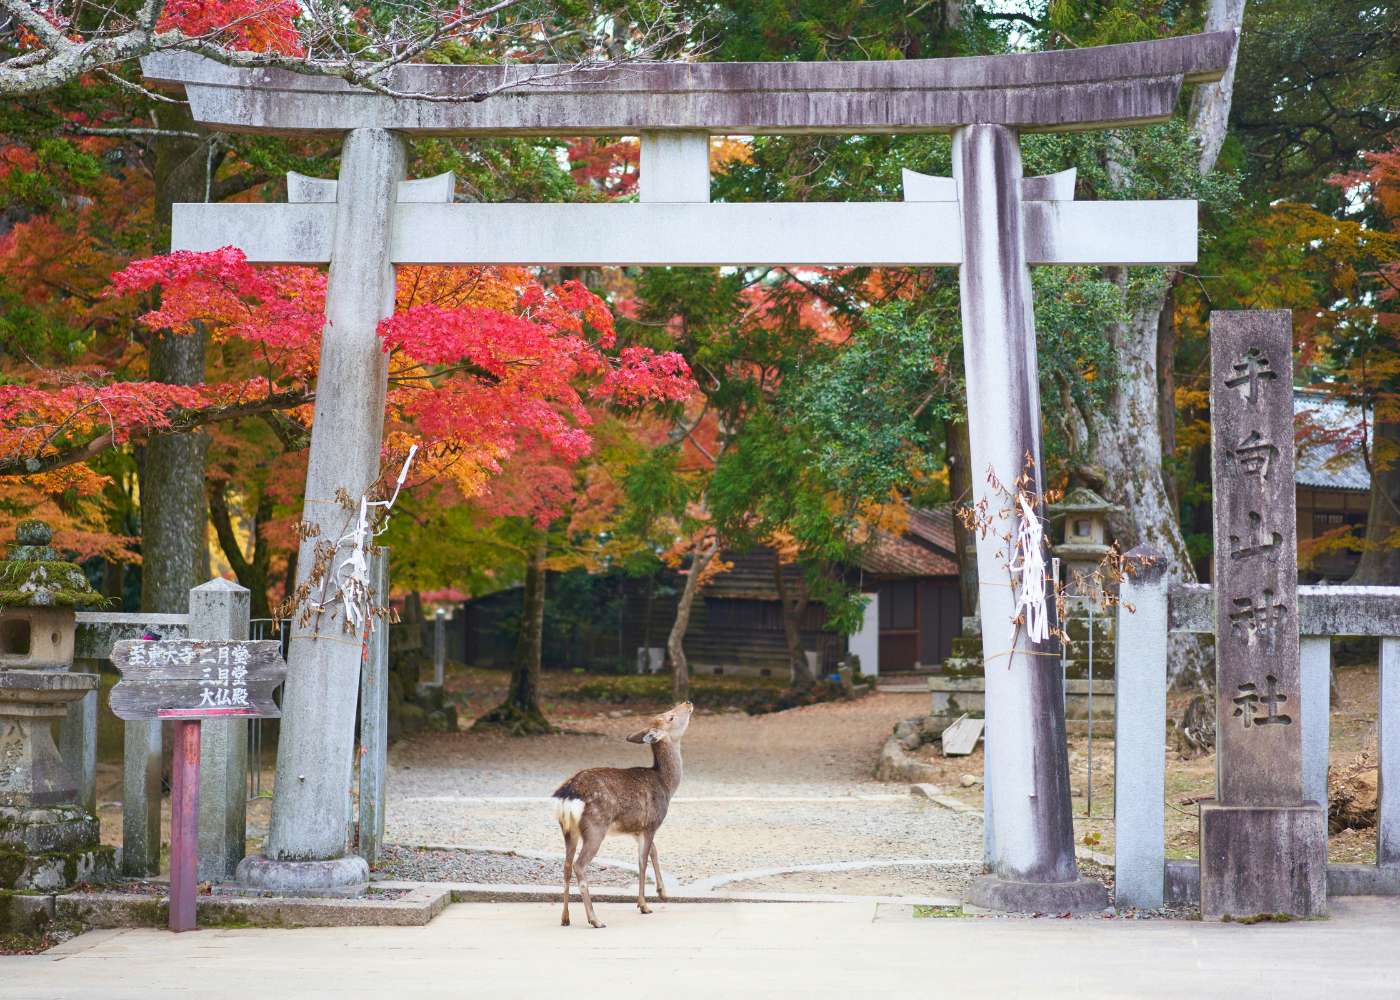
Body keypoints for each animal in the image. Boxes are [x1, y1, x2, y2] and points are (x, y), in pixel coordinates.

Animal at [550, 701, 693, 928]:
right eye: (670, 716)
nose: (688, 702)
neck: (666, 785)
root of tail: (566, 795)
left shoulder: (636, 828)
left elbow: (653, 851)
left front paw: (662, 893)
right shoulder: (652, 823)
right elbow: (642, 862)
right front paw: (644, 905)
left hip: (567, 829)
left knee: (565, 865)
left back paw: (565, 918)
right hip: (595, 826)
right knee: (579, 865)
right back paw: (595, 919)